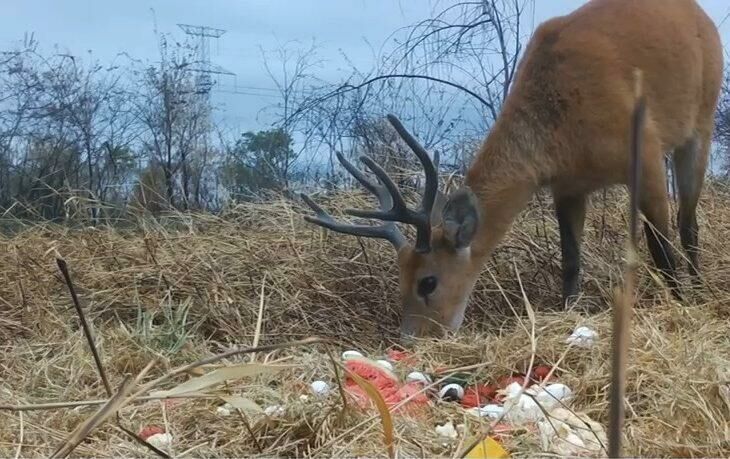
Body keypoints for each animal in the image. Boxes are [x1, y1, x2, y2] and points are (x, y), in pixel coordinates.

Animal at [298, 0, 720, 340]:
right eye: (398, 276)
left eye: (428, 282)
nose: (410, 339)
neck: (561, 122)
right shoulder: (567, 185)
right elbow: (570, 260)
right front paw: (568, 313)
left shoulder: (645, 152)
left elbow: (661, 247)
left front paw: (679, 305)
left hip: (701, 122)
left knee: (688, 223)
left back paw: (699, 291)